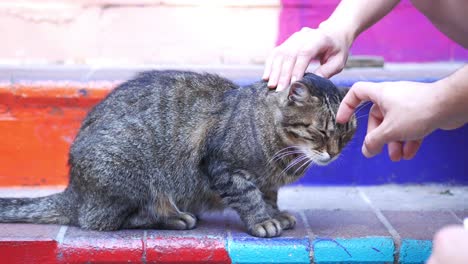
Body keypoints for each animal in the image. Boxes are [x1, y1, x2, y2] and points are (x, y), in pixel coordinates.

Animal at [0, 70, 354, 237]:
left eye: (346, 134)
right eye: (322, 132)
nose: (334, 154)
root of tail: (75, 189)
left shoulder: (267, 181)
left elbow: (268, 195)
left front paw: (275, 213)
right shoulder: (224, 166)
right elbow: (250, 196)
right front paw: (263, 221)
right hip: (132, 171)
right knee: (100, 220)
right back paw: (172, 216)